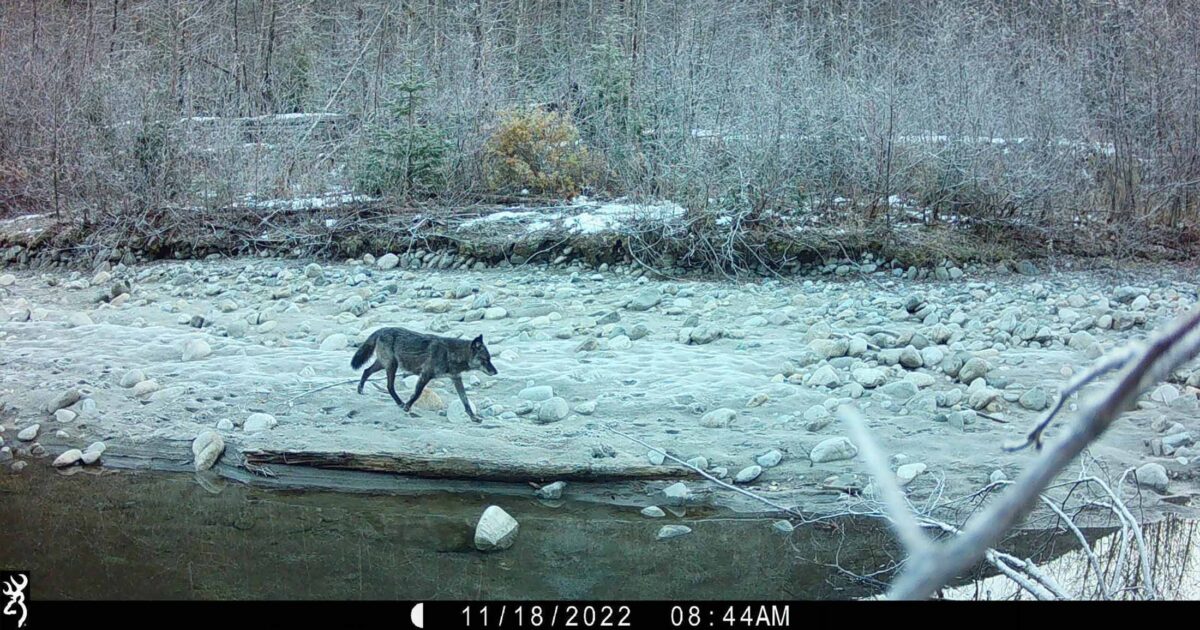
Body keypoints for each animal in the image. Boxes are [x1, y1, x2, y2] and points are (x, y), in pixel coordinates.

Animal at [350, 327, 498, 422]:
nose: (496, 372)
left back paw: (361, 390)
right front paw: (407, 407)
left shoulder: (456, 378)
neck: (451, 353)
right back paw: (400, 403)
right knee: (389, 386)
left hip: (383, 364)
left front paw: (473, 417)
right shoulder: (425, 375)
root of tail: (381, 329)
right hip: (391, 365)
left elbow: (465, 401)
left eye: (490, 359)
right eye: (485, 360)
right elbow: (416, 394)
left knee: (366, 371)